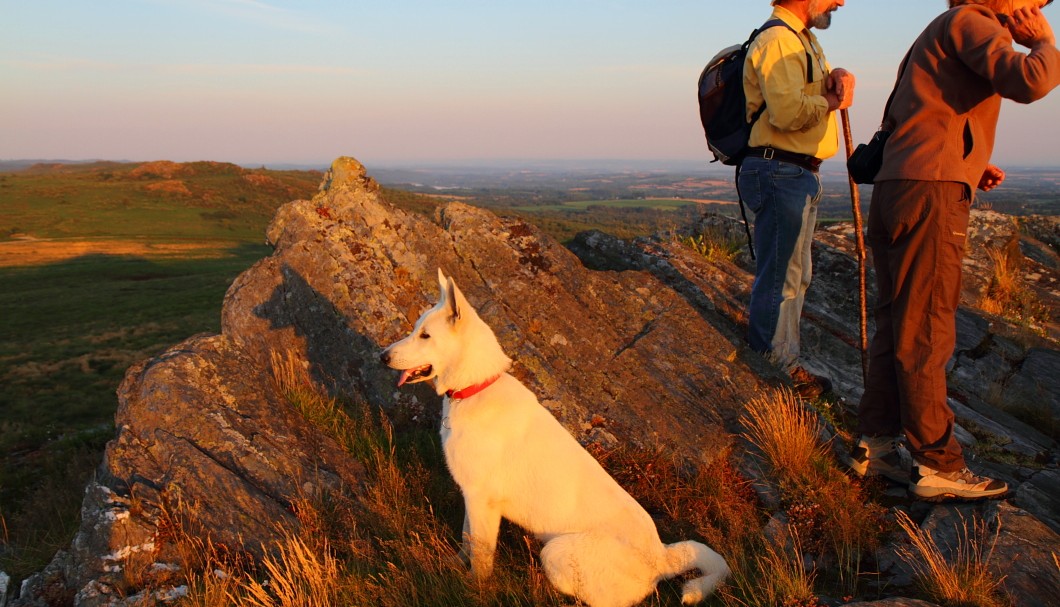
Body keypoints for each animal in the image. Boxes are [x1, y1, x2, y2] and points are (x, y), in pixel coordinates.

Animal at [381, 270, 729, 605]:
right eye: (416, 329)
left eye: (425, 336)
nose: (383, 356)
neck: (476, 387)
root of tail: (661, 557)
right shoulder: (472, 498)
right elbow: (467, 541)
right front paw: (455, 566)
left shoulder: (482, 500)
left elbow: (480, 556)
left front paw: (473, 589)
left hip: (555, 552)